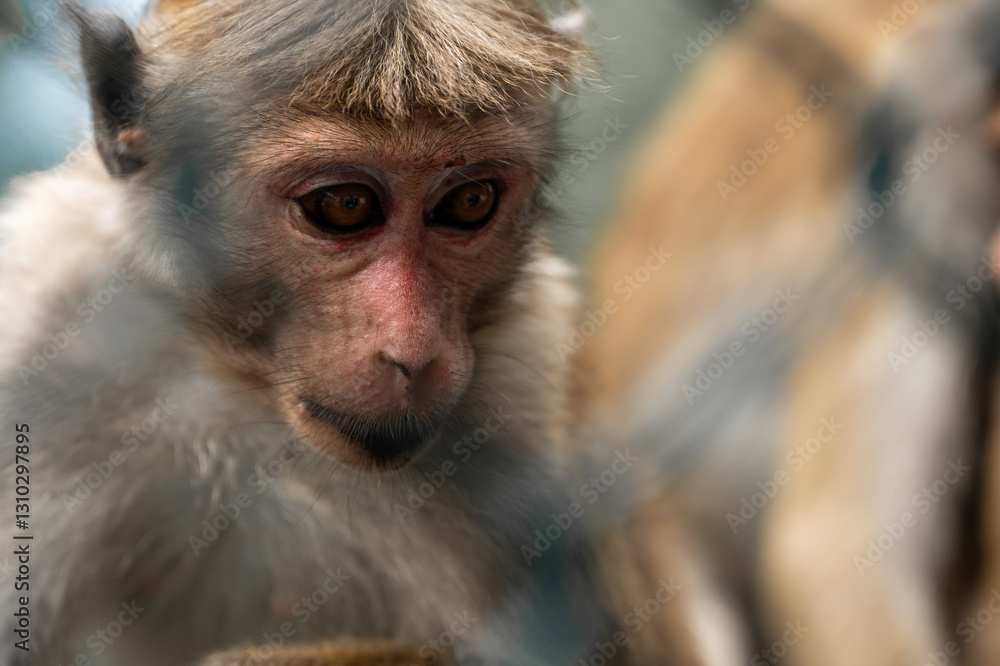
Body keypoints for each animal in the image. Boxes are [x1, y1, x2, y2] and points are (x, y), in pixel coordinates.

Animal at [0, 1, 623, 664]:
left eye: (470, 201)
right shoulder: (49, 335)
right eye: (345, 205)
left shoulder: (527, 390)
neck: (245, 395)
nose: (414, 352)